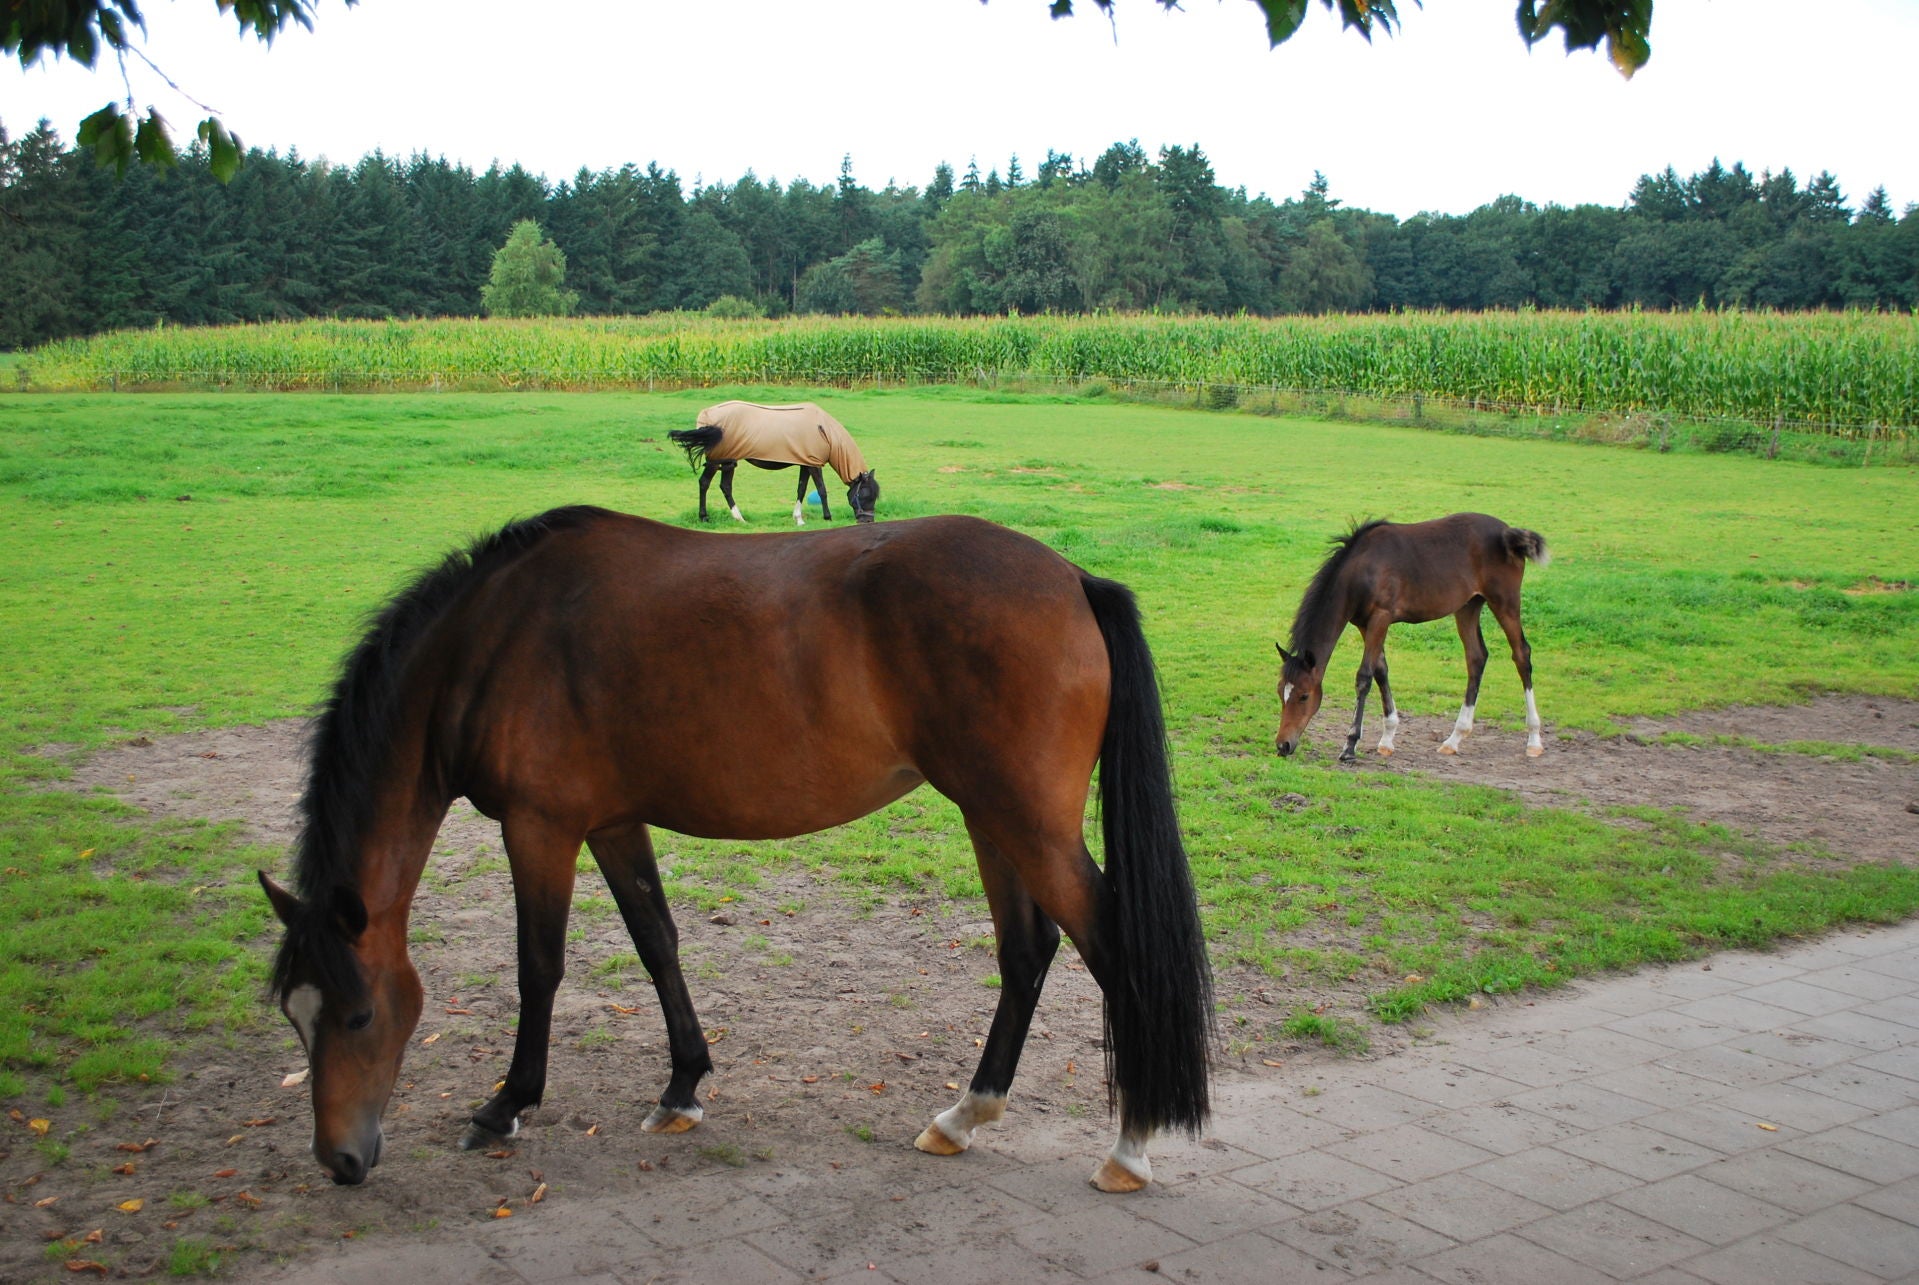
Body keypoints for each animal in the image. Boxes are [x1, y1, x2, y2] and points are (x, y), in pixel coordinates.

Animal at [260, 505, 1212, 1194]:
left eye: (358, 1015)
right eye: (295, 1017)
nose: (339, 1159)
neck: (494, 637)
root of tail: (1072, 579)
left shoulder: (540, 826)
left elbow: (540, 966)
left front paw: (507, 1103)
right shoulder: (612, 822)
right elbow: (657, 941)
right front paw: (683, 1085)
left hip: (1024, 819)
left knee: (1110, 948)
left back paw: (1130, 1146)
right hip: (992, 814)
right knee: (1026, 951)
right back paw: (962, 1116)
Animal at [668, 401, 880, 525]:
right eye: (864, 493)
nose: (867, 521)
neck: (824, 430)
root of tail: (706, 414)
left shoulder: (805, 463)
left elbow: (801, 489)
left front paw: (798, 518)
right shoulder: (814, 464)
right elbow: (821, 490)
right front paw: (827, 517)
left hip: (728, 462)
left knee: (725, 486)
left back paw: (739, 518)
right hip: (717, 461)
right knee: (705, 483)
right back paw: (704, 517)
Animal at [1274, 513, 1549, 762]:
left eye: (1304, 695)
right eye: (1280, 692)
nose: (1283, 745)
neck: (1362, 567)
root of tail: (1507, 532)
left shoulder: (1381, 618)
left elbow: (1364, 677)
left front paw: (1350, 745)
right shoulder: (1365, 624)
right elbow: (1381, 671)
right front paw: (1387, 740)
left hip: (1505, 601)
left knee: (1521, 655)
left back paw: (1534, 740)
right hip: (1468, 606)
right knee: (1476, 657)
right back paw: (1454, 739)